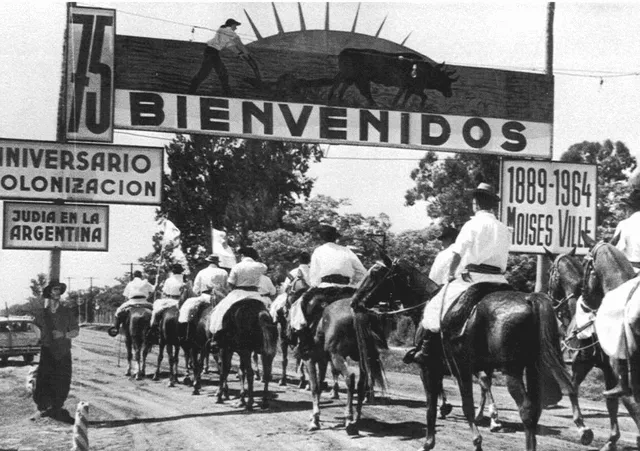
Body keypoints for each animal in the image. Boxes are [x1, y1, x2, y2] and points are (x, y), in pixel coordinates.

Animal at [356, 254, 584, 451]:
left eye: (375, 273)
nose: (356, 301)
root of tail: (529, 299)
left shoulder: (434, 369)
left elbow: (441, 407)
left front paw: (435, 442)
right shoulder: (464, 370)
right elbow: (466, 401)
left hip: (512, 371)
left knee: (527, 410)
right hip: (533, 369)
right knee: (539, 407)